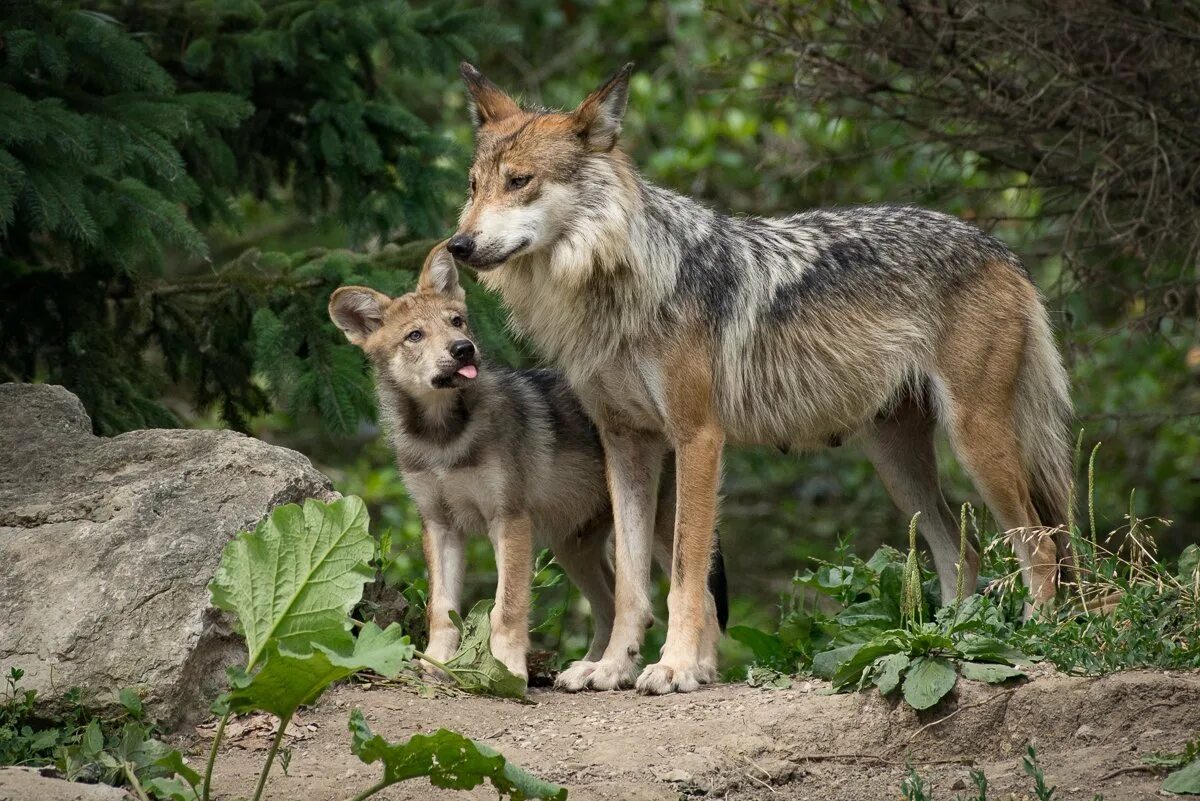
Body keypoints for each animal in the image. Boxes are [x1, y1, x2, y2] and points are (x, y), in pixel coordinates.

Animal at [446, 64, 1075, 695]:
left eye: (519, 181)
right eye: (473, 186)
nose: (458, 245)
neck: (618, 285)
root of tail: (1000, 249)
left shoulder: (698, 438)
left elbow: (686, 574)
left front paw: (674, 667)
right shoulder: (626, 444)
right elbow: (630, 582)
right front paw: (612, 667)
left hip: (974, 444)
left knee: (1041, 546)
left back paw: (1035, 639)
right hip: (899, 467)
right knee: (964, 555)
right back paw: (949, 637)